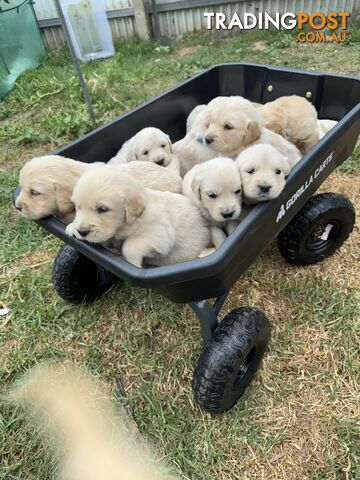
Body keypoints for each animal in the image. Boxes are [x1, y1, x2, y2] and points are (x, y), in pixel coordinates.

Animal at [66, 167, 210, 268]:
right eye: (77, 207)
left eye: (102, 209)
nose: (82, 231)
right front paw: (72, 227)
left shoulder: (160, 233)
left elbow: (130, 245)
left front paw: (133, 263)